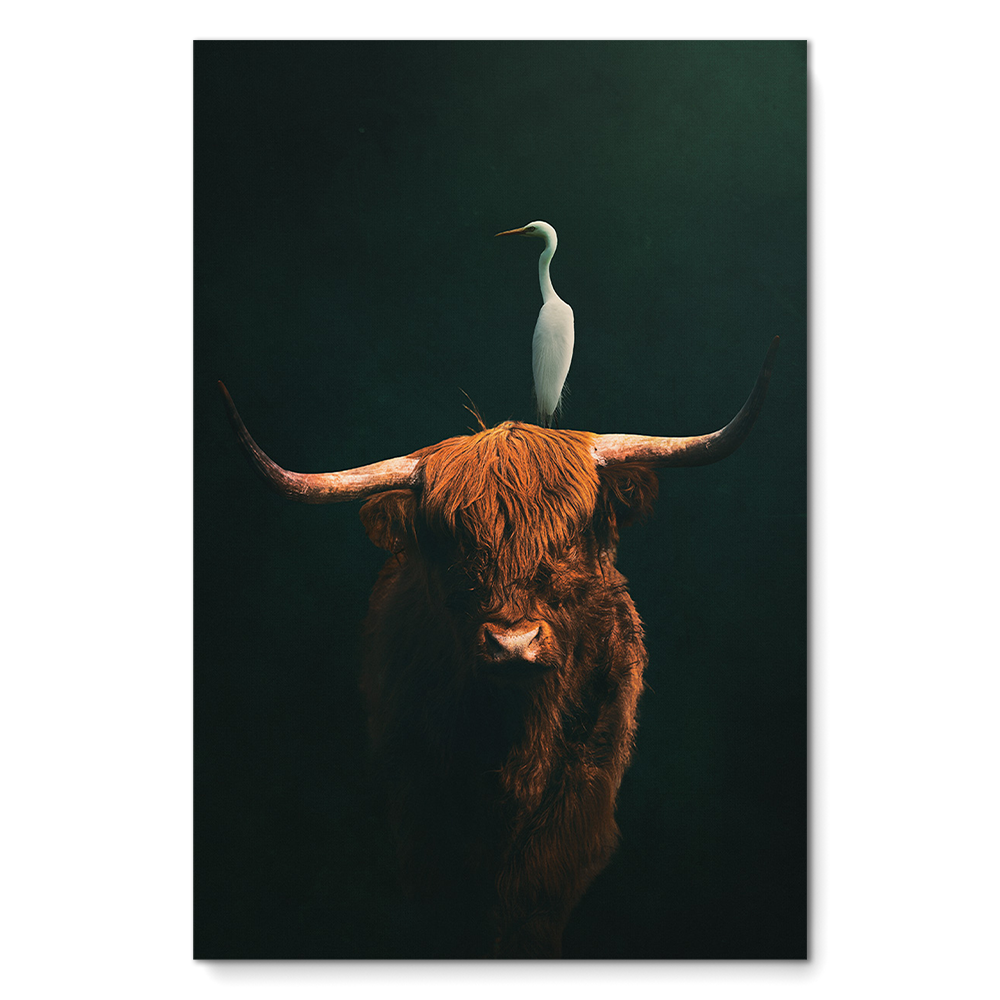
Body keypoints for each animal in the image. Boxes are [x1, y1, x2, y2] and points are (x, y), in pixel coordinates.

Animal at [218, 336, 778, 959]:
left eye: (572, 537)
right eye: (452, 544)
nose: (514, 643)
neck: (517, 736)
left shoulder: (583, 791)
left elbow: (536, 893)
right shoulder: (416, 793)